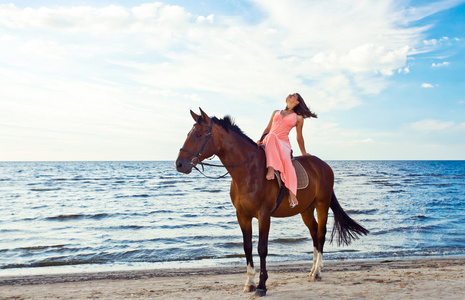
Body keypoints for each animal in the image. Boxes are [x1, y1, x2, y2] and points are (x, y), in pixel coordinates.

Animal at [176, 109, 368, 296]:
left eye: (198, 135)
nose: (179, 164)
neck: (249, 171)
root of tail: (323, 165)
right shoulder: (242, 215)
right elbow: (247, 247)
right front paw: (249, 282)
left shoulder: (264, 214)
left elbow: (262, 248)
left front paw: (262, 285)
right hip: (306, 209)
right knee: (314, 233)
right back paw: (312, 270)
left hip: (322, 204)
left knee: (320, 234)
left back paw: (318, 271)